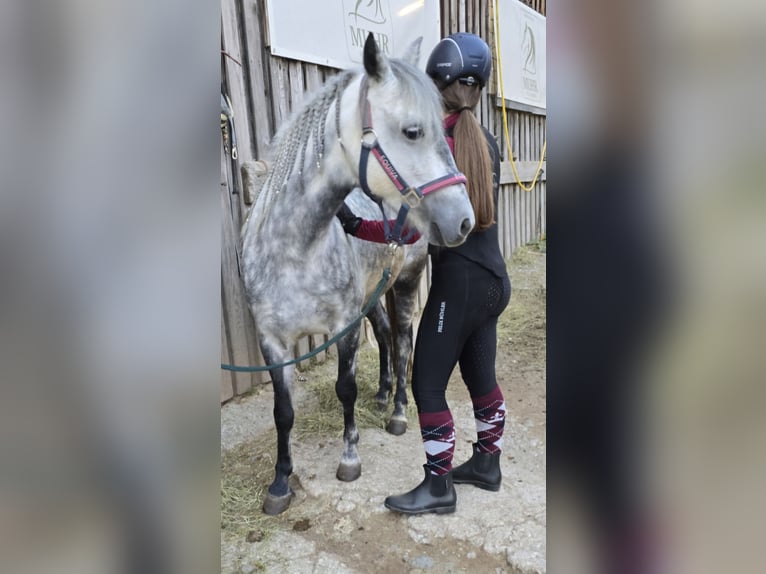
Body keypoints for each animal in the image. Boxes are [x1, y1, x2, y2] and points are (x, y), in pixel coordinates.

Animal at [242, 33, 474, 516]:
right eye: (412, 131)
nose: (464, 220)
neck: (294, 249)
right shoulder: (272, 341)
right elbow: (282, 412)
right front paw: (280, 482)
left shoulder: (343, 327)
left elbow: (344, 387)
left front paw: (349, 458)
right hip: (372, 295)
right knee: (385, 336)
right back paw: (383, 394)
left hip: (403, 286)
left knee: (402, 342)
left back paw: (398, 410)